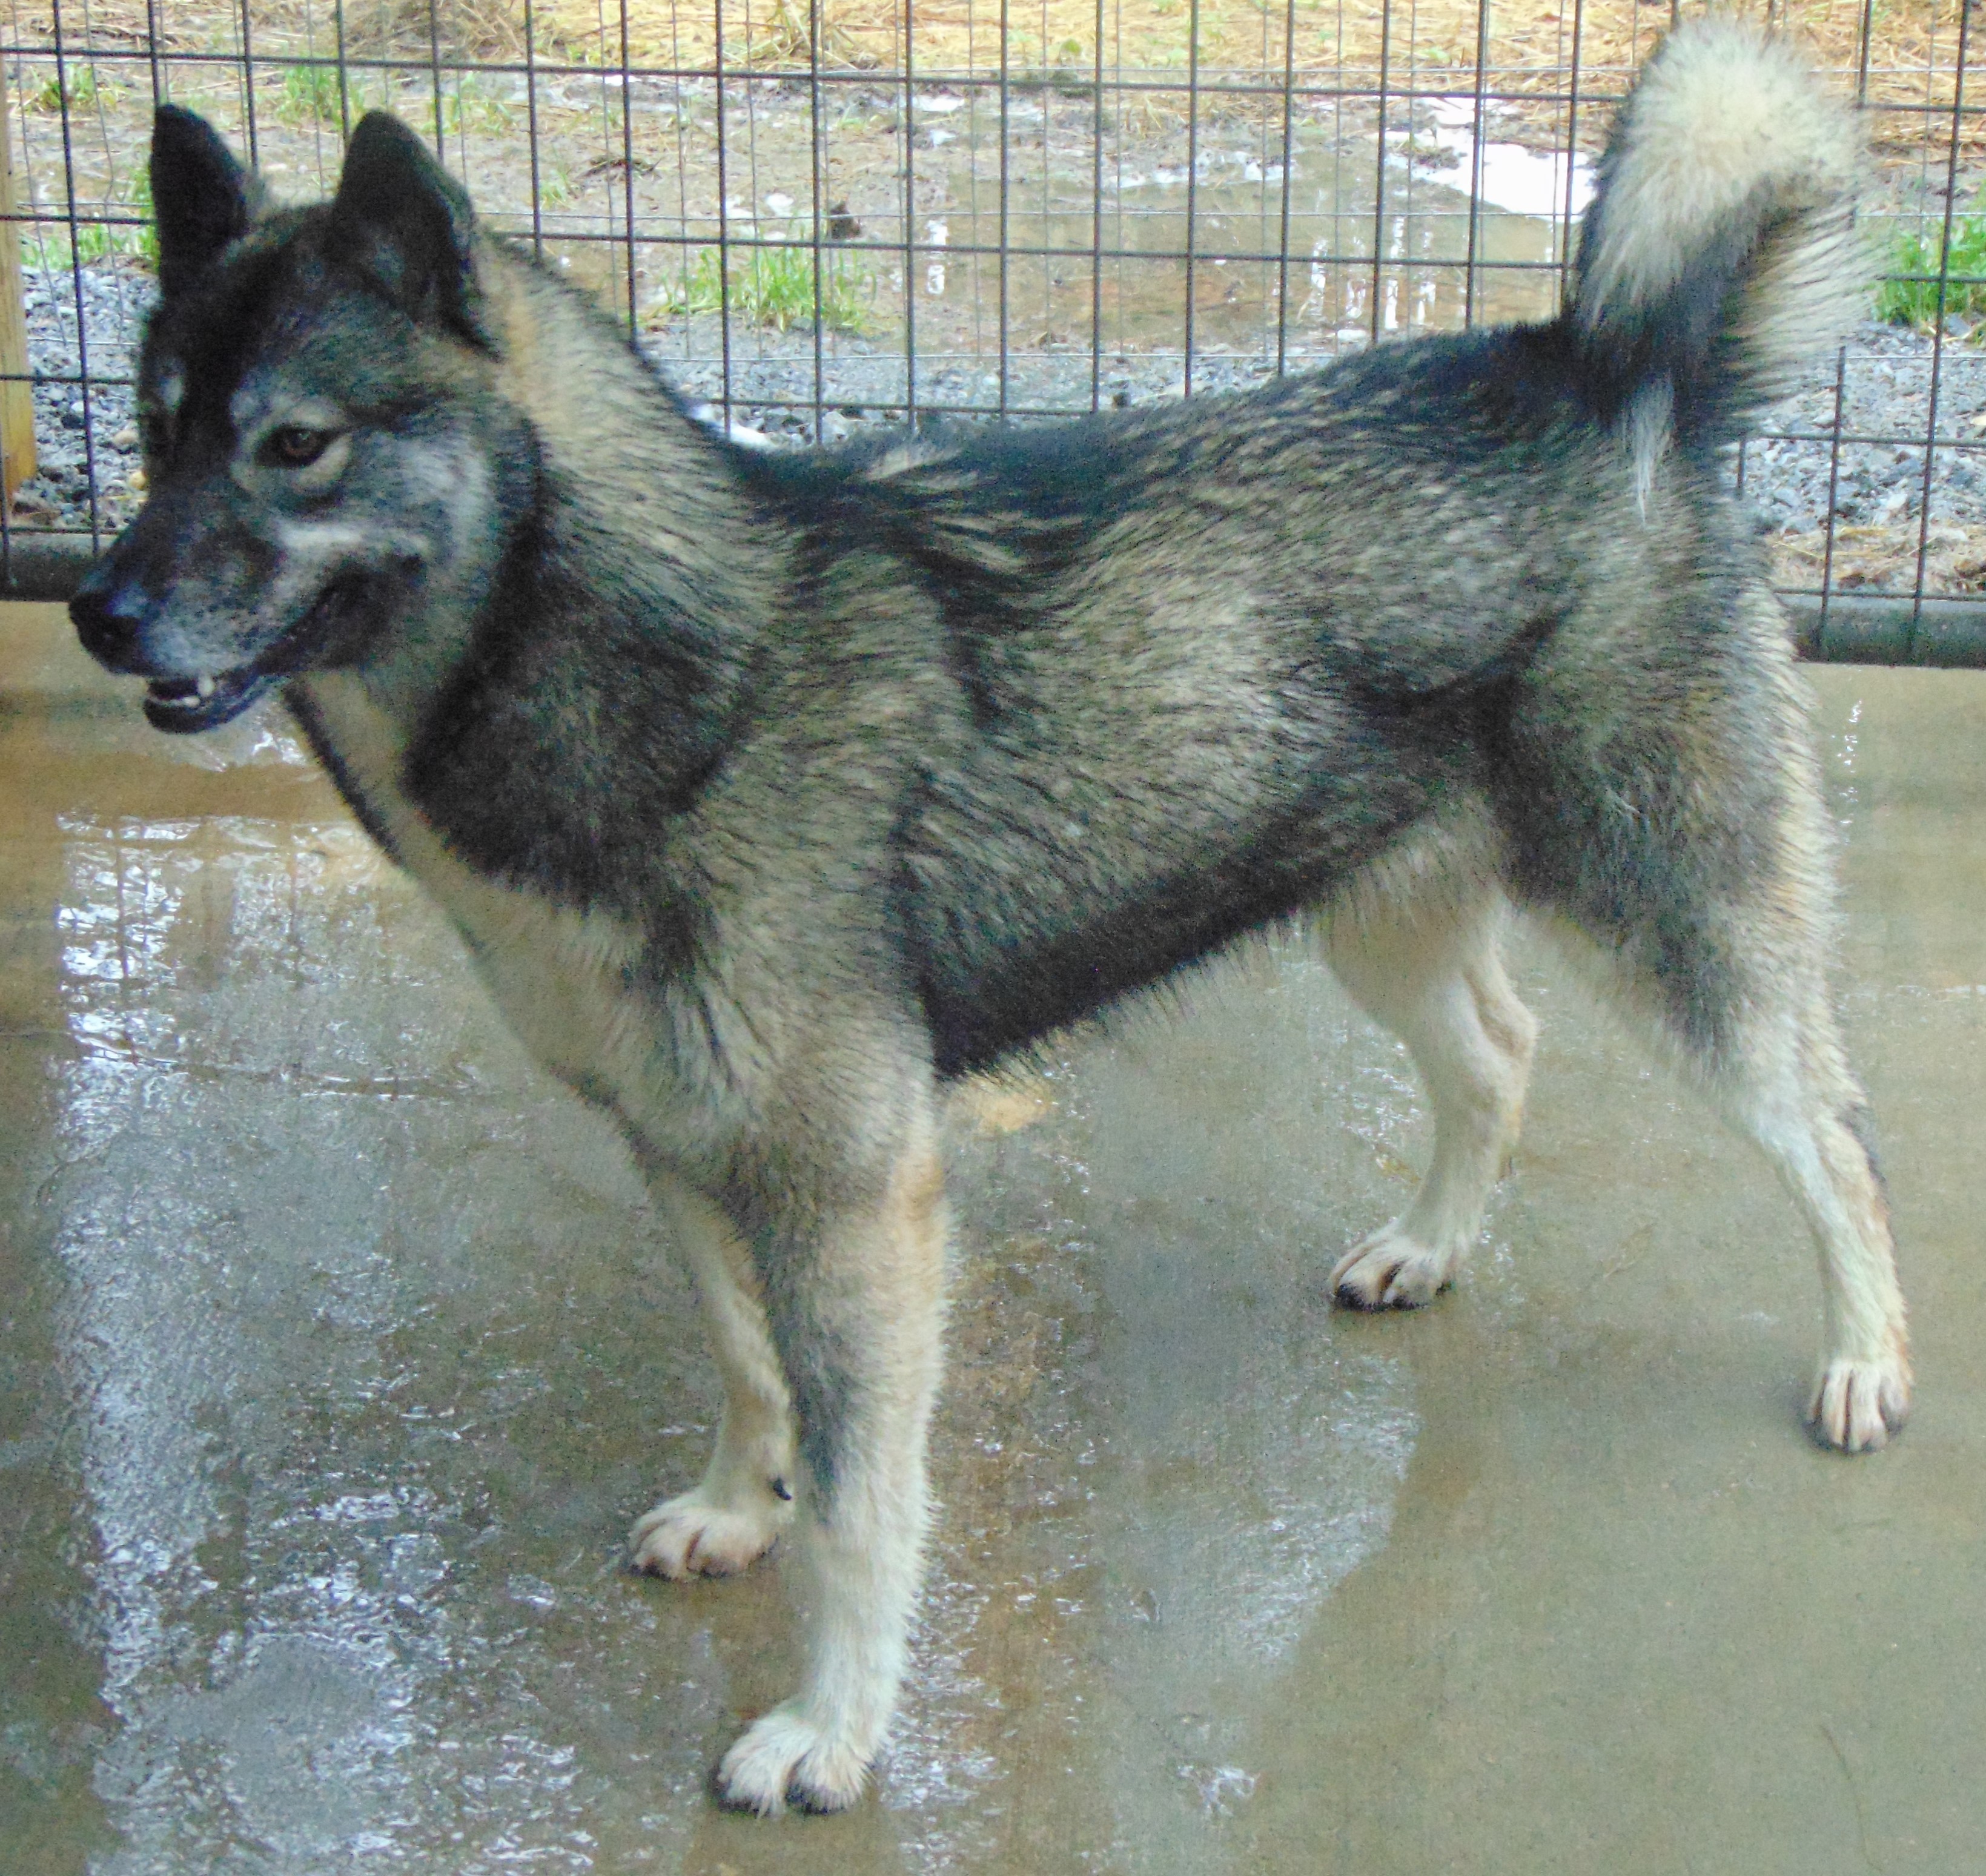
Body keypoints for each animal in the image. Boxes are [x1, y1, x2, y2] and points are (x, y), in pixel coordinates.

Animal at [73, 22, 1906, 1818]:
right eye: (156, 432)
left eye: (293, 444)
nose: (97, 608)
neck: (677, 664)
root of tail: (1602, 374)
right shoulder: (680, 1146)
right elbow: (747, 1370)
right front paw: (737, 1503)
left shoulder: (853, 1194)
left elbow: (859, 1501)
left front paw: (831, 1725)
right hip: (1374, 909)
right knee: (1498, 1053)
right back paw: (1431, 1244)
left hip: (1673, 923)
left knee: (1828, 1130)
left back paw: (1865, 1358)